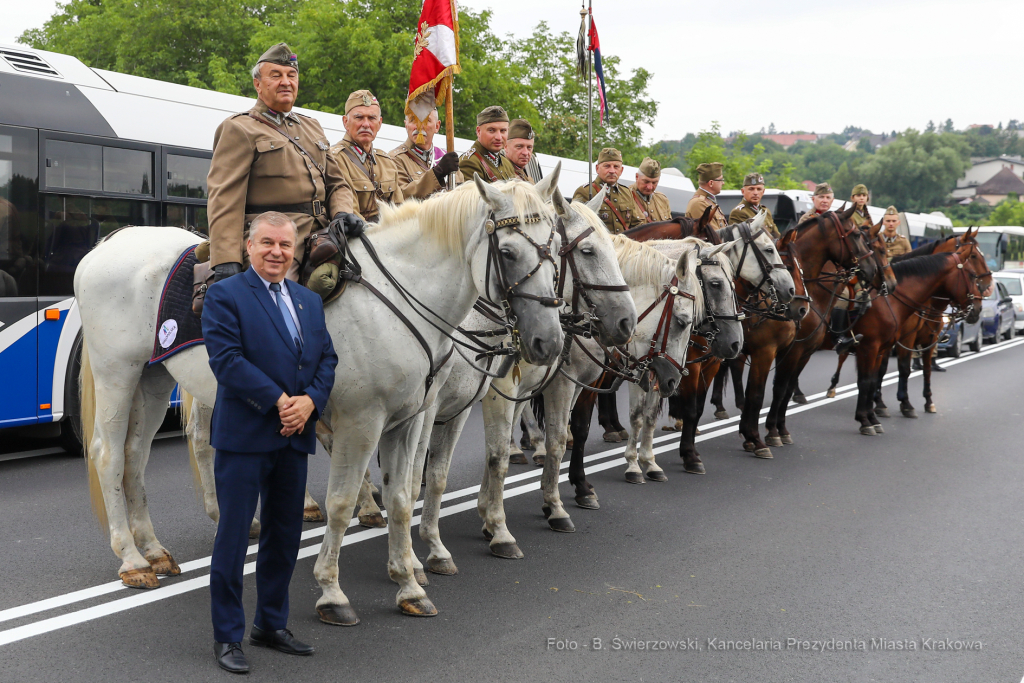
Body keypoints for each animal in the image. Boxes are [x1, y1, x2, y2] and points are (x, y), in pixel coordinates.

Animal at [72, 171, 569, 626]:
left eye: (556, 251)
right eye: (508, 252)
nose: (548, 342)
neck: (401, 295)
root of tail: (112, 241)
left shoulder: (409, 421)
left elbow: (402, 496)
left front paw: (408, 584)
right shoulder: (361, 423)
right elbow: (342, 504)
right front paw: (332, 592)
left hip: (154, 378)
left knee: (135, 456)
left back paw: (153, 550)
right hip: (119, 373)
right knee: (109, 454)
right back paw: (132, 560)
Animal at [843, 240, 987, 432]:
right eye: (973, 258)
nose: (978, 307)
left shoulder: (928, 341)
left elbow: (926, 369)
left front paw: (927, 402)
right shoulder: (898, 340)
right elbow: (899, 369)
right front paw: (901, 404)